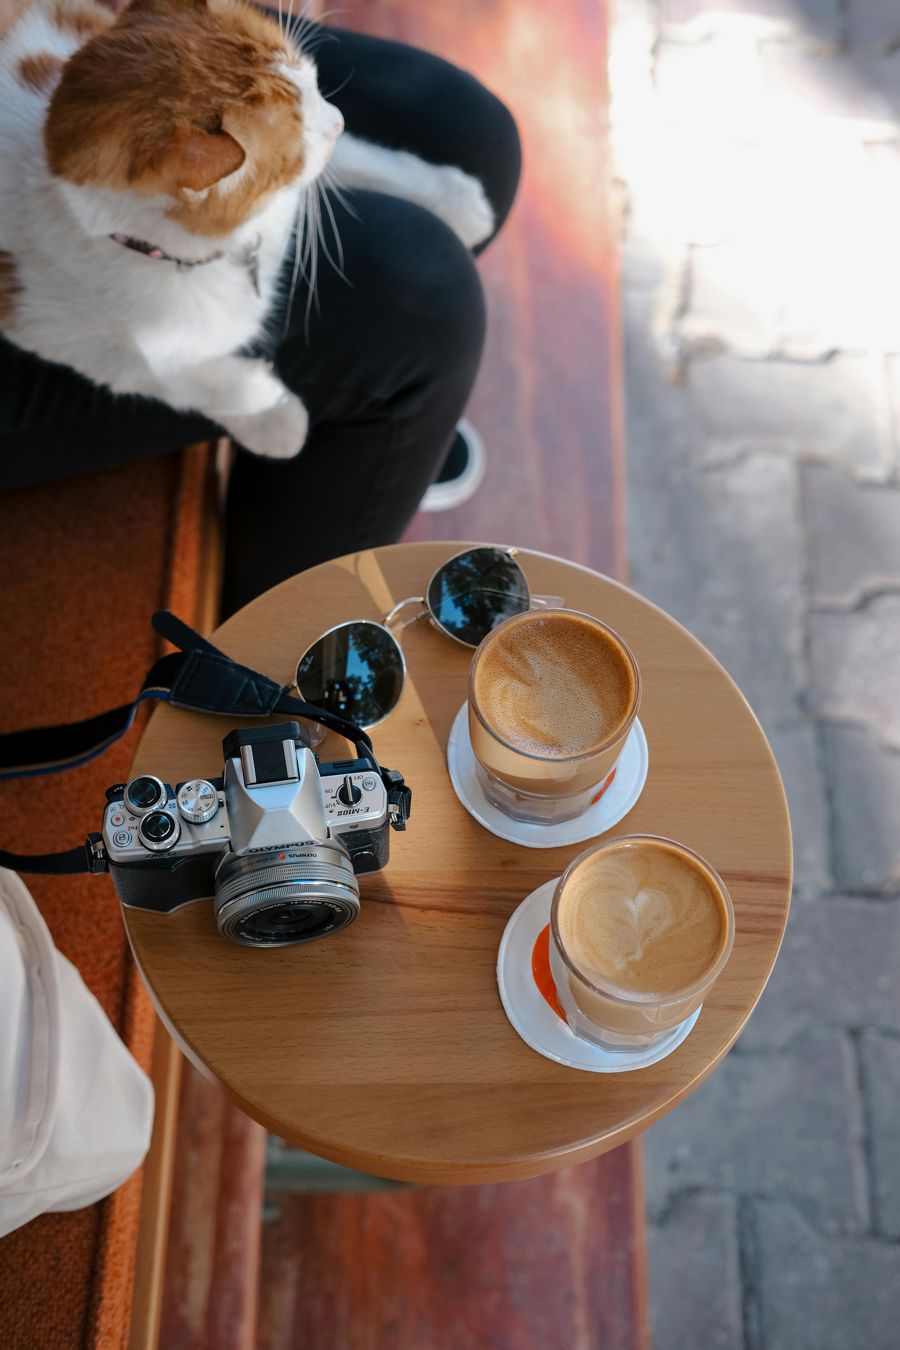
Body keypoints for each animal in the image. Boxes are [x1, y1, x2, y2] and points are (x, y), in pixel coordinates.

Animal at [0, 0, 493, 459]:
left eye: (310, 78)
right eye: (297, 145)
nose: (338, 119)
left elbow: (362, 162)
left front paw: (452, 198)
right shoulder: (49, 326)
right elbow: (167, 374)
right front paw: (274, 417)